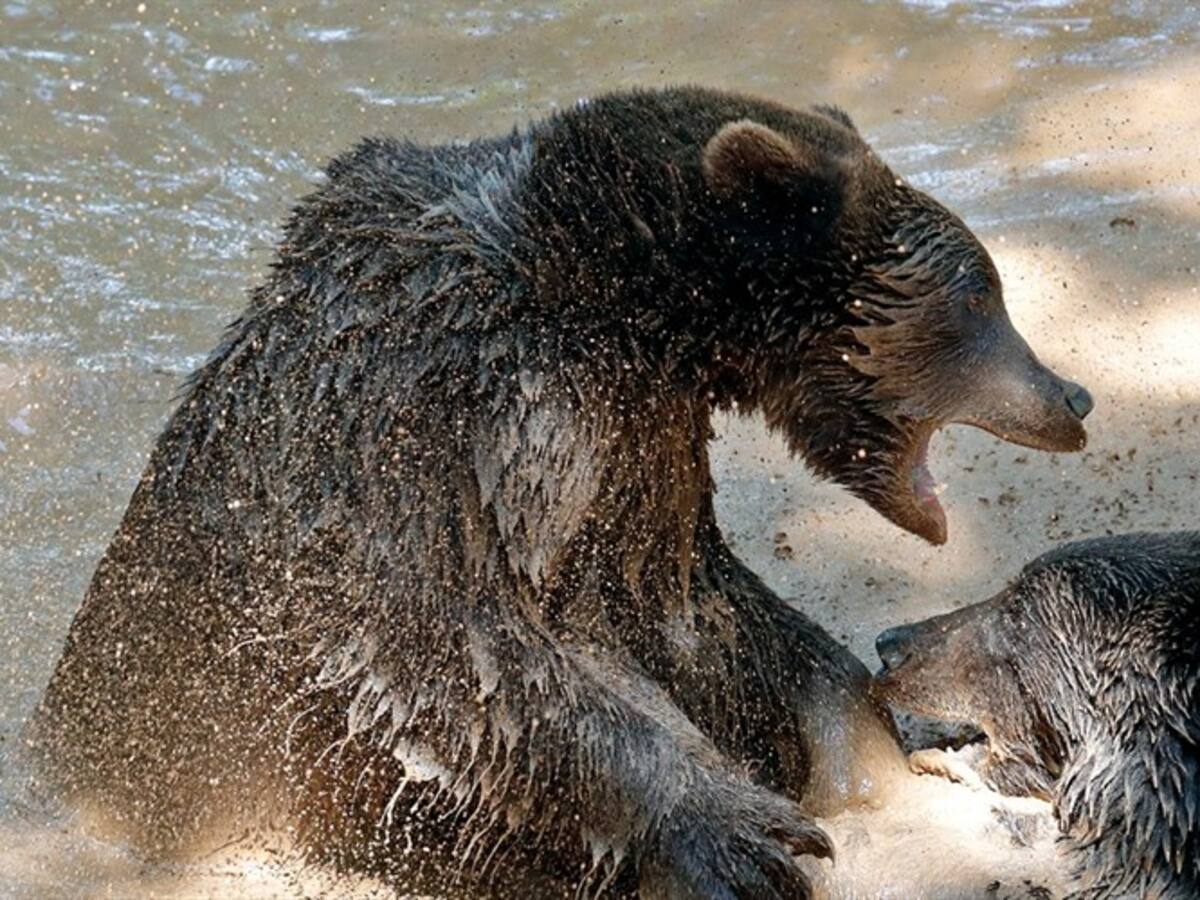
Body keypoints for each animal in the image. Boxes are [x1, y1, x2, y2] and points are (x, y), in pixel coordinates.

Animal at [26, 86, 1094, 898]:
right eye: (981, 294)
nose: (1073, 397)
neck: (608, 299)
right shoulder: (441, 418)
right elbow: (460, 651)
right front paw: (746, 833)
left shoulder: (632, 441)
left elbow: (696, 610)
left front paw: (881, 756)